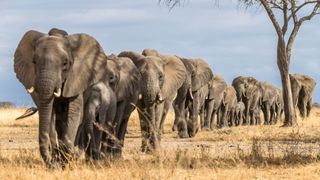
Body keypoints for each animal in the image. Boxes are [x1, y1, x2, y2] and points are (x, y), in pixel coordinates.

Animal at [13, 28, 108, 167]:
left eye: (65, 63)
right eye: (34, 62)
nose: (50, 164)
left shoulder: (77, 80)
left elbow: (74, 112)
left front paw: (69, 157)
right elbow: (49, 114)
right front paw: (57, 161)